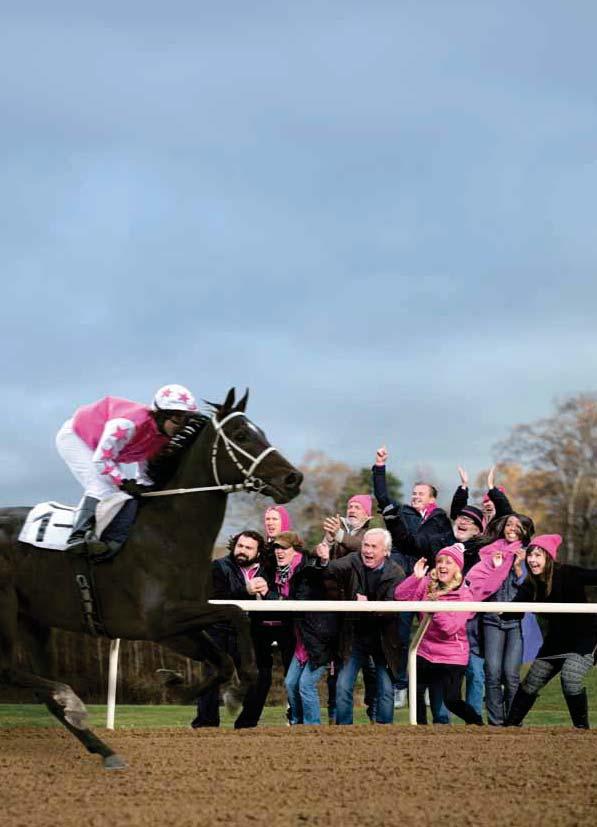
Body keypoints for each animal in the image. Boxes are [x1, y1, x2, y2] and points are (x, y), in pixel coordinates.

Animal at [0, 390, 298, 768]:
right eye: (242, 435)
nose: (293, 479)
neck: (167, 532)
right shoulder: (158, 620)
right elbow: (235, 612)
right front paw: (227, 687)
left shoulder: (174, 628)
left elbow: (220, 659)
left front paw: (188, 684)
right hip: (6, 609)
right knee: (8, 670)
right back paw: (72, 701)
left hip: (34, 620)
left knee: (42, 691)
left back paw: (103, 748)